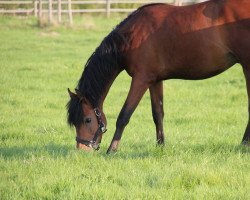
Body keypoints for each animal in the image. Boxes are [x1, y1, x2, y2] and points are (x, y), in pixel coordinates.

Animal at [66, 0, 250, 153]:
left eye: (87, 120)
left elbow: (124, 115)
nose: (82, 149)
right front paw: (160, 146)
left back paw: (244, 144)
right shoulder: (155, 81)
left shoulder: (141, 80)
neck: (131, 36)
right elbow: (158, 114)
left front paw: (112, 150)